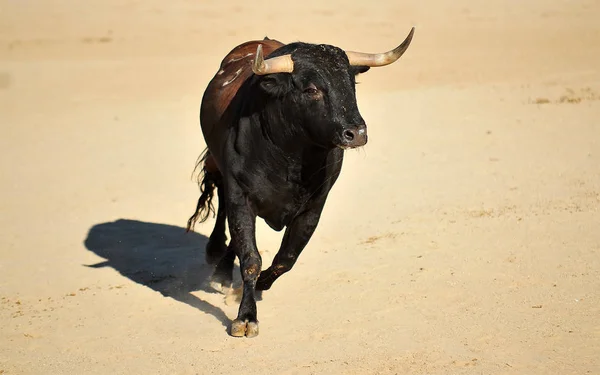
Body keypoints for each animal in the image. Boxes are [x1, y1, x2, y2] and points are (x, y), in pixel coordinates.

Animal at [185, 28, 414, 338]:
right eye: (311, 89)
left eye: (351, 84)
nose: (356, 133)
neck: (290, 156)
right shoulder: (240, 196)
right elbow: (251, 258)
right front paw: (246, 317)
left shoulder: (313, 207)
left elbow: (285, 258)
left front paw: (260, 287)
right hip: (221, 172)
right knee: (222, 205)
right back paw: (218, 261)